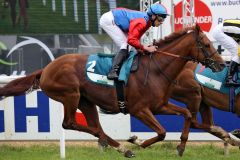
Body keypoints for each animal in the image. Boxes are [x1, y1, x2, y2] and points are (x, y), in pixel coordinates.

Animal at [0, 25, 224, 158]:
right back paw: (123, 146)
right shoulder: (139, 109)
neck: (156, 68)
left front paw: (181, 146)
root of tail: (46, 69)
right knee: (70, 123)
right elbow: (161, 132)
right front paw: (138, 141)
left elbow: (186, 114)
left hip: (86, 101)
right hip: (70, 95)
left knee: (94, 126)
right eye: (206, 44)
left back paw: (121, 147)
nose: (222, 64)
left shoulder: (159, 105)